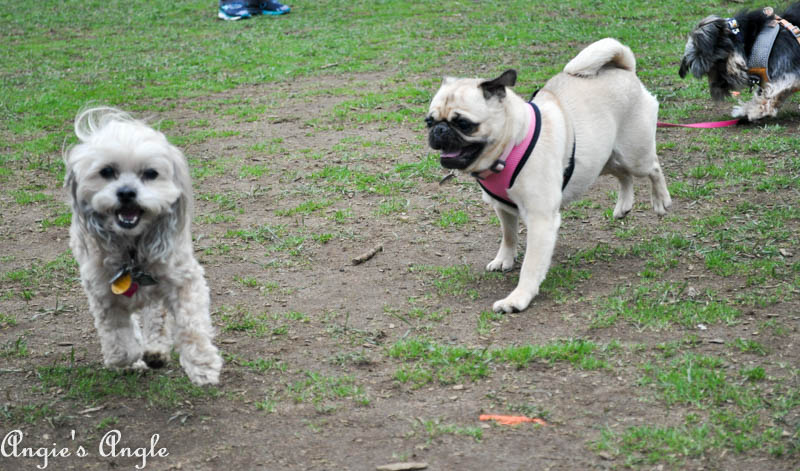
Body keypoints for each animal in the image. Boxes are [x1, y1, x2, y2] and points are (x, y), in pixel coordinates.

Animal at [65, 108, 222, 388]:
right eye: (107, 171)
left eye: (150, 173)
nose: (127, 192)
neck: (132, 252)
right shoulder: (102, 294)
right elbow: (120, 340)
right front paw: (128, 357)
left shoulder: (184, 280)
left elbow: (191, 325)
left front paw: (203, 365)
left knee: (156, 314)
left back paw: (157, 349)